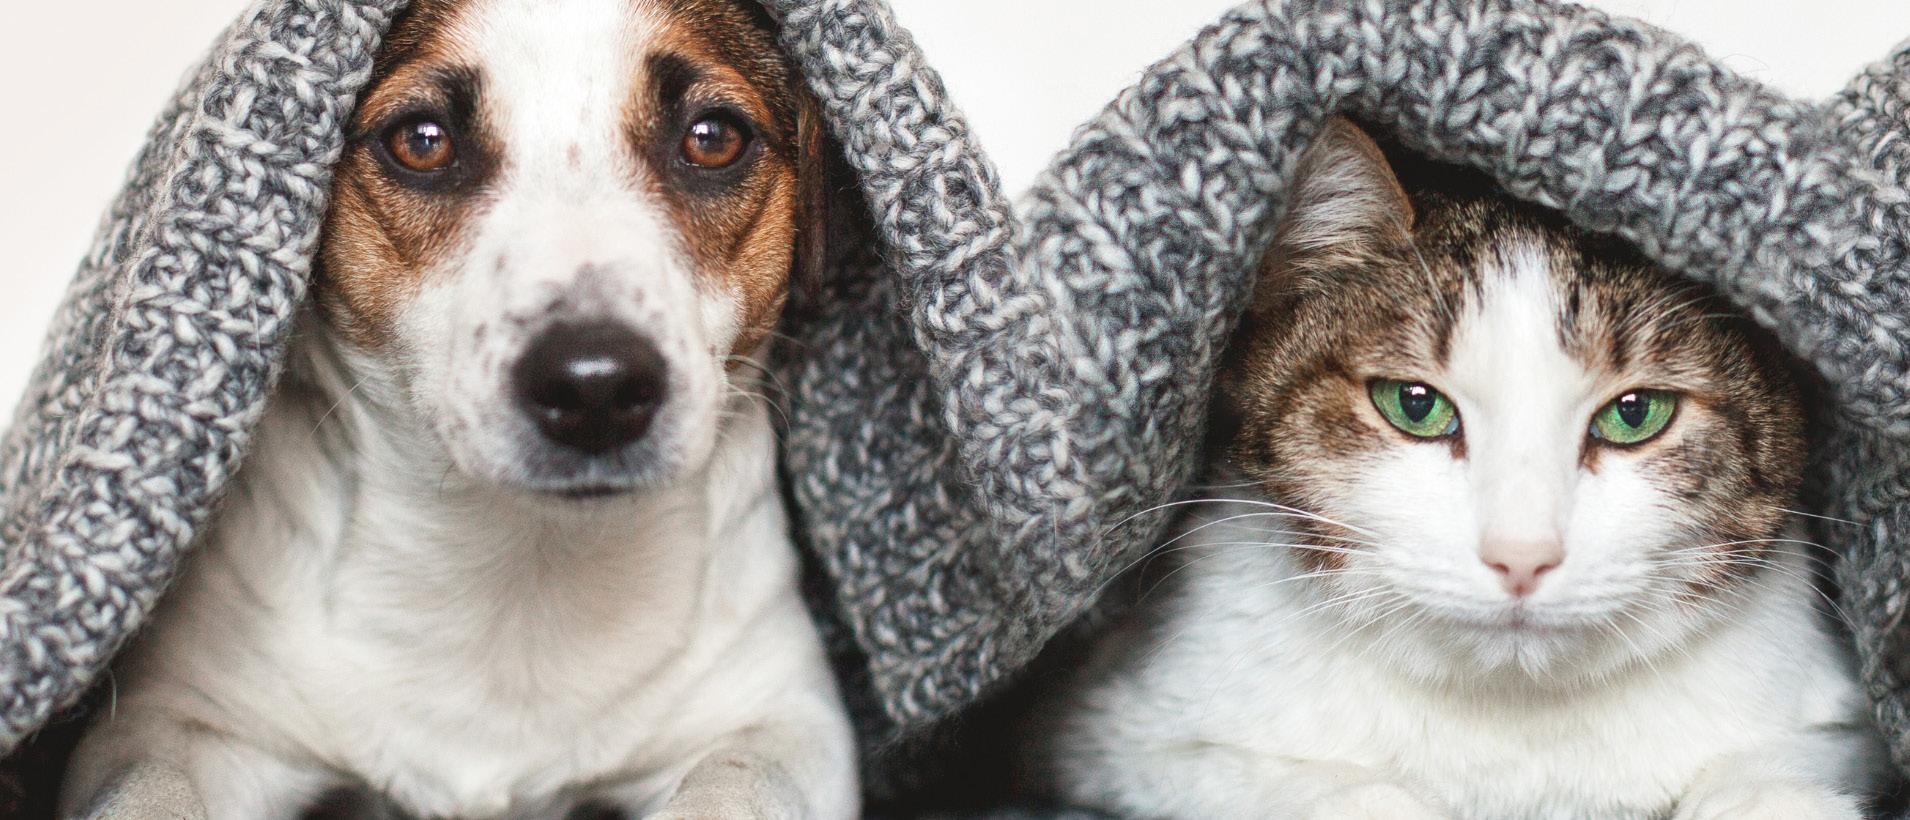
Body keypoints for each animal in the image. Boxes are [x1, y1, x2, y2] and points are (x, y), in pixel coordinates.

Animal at [60, 0, 857, 817]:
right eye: (421, 141)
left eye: (712, 137)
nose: (594, 386)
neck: (525, 571)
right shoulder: (174, 725)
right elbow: (151, 791)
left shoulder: (783, 722)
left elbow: (730, 783)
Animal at [1024, 119, 1891, 820]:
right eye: (1414, 405)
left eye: (1635, 413)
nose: (1522, 556)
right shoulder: (1118, 730)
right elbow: (1286, 783)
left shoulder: (1827, 714)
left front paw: (1767, 798)